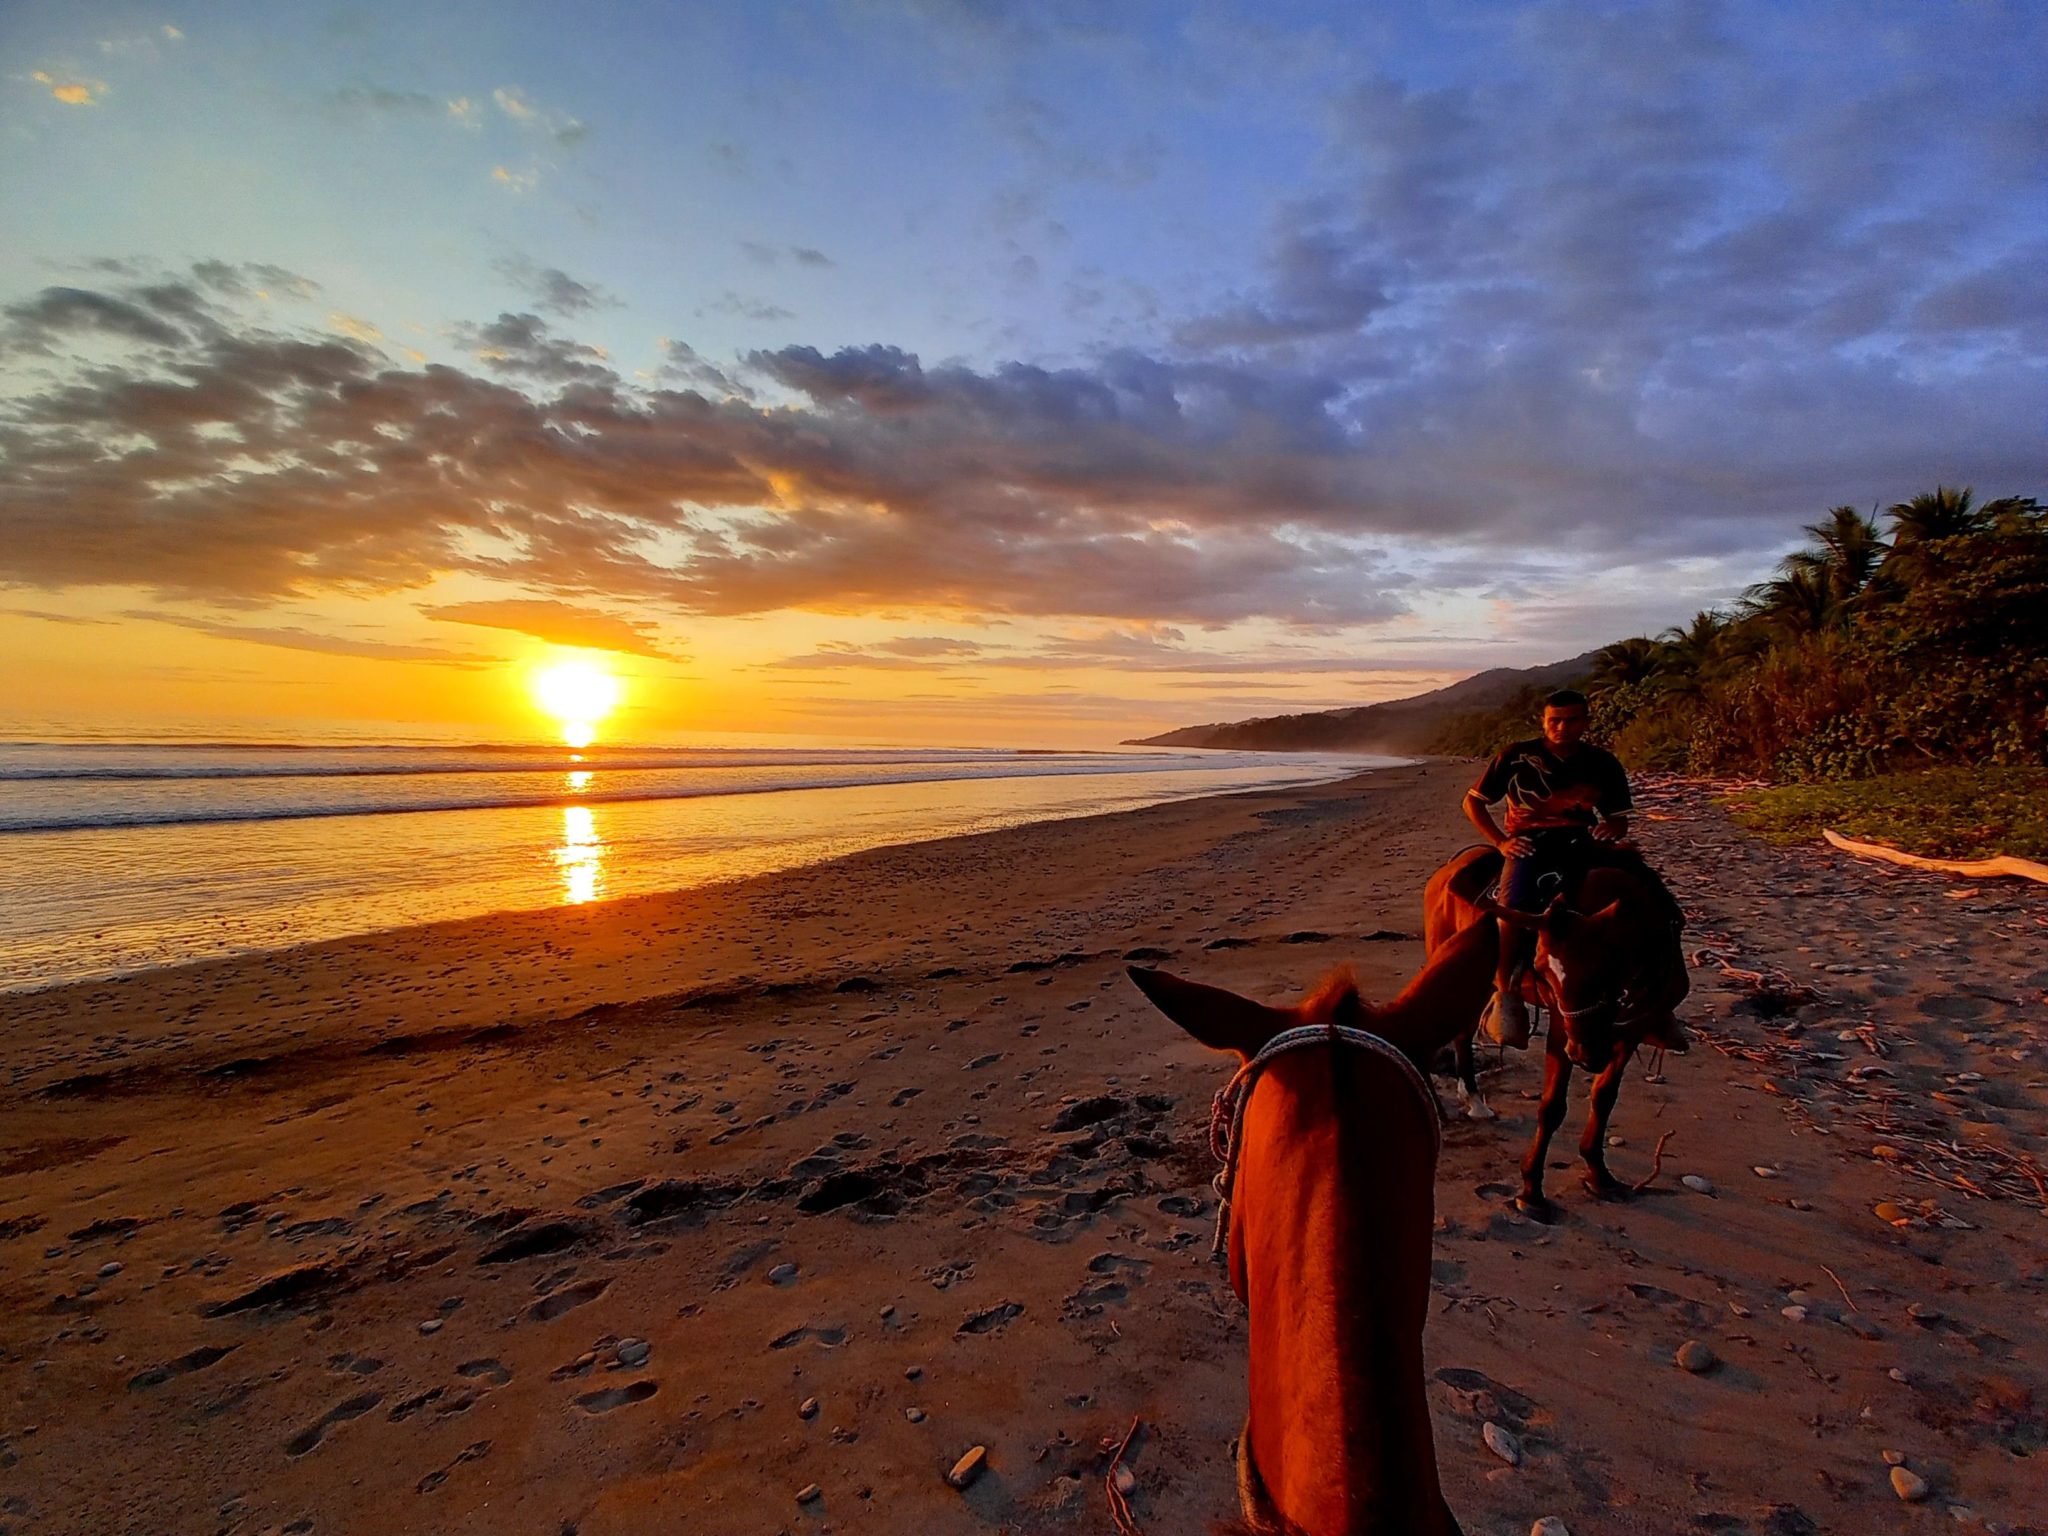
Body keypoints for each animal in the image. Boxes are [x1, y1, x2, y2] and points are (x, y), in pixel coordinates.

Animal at [1417, 847, 1687, 1220]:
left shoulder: (1628, 1029)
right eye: (1542, 968)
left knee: (1463, 1032)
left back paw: (1473, 1099)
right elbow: (1552, 1106)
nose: (1586, 1054)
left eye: (1608, 966)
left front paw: (1599, 1173)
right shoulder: (1562, 1029)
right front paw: (1531, 1192)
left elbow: (1605, 1096)